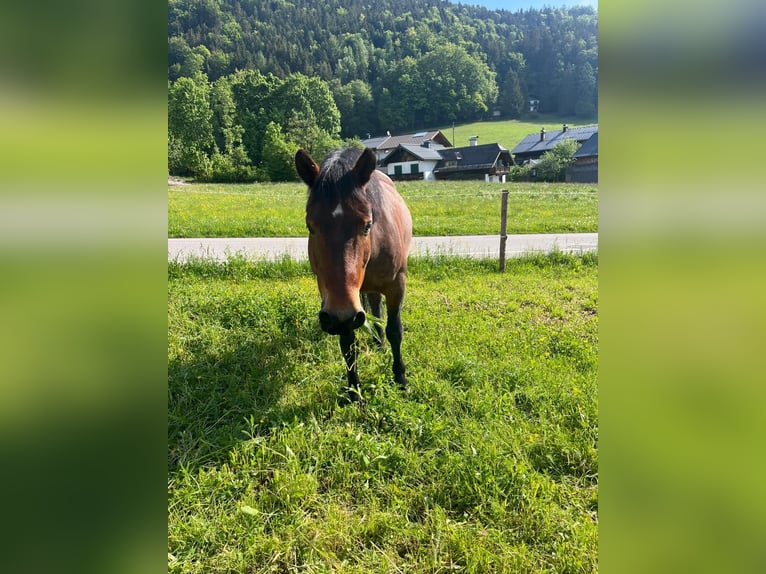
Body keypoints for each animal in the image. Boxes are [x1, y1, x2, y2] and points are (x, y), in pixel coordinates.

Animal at [296, 146, 414, 402]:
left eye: (367, 224)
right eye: (310, 226)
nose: (341, 314)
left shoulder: (396, 286)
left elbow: (395, 331)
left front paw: (400, 379)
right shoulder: (336, 301)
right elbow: (348, 343)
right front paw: (354, 392)